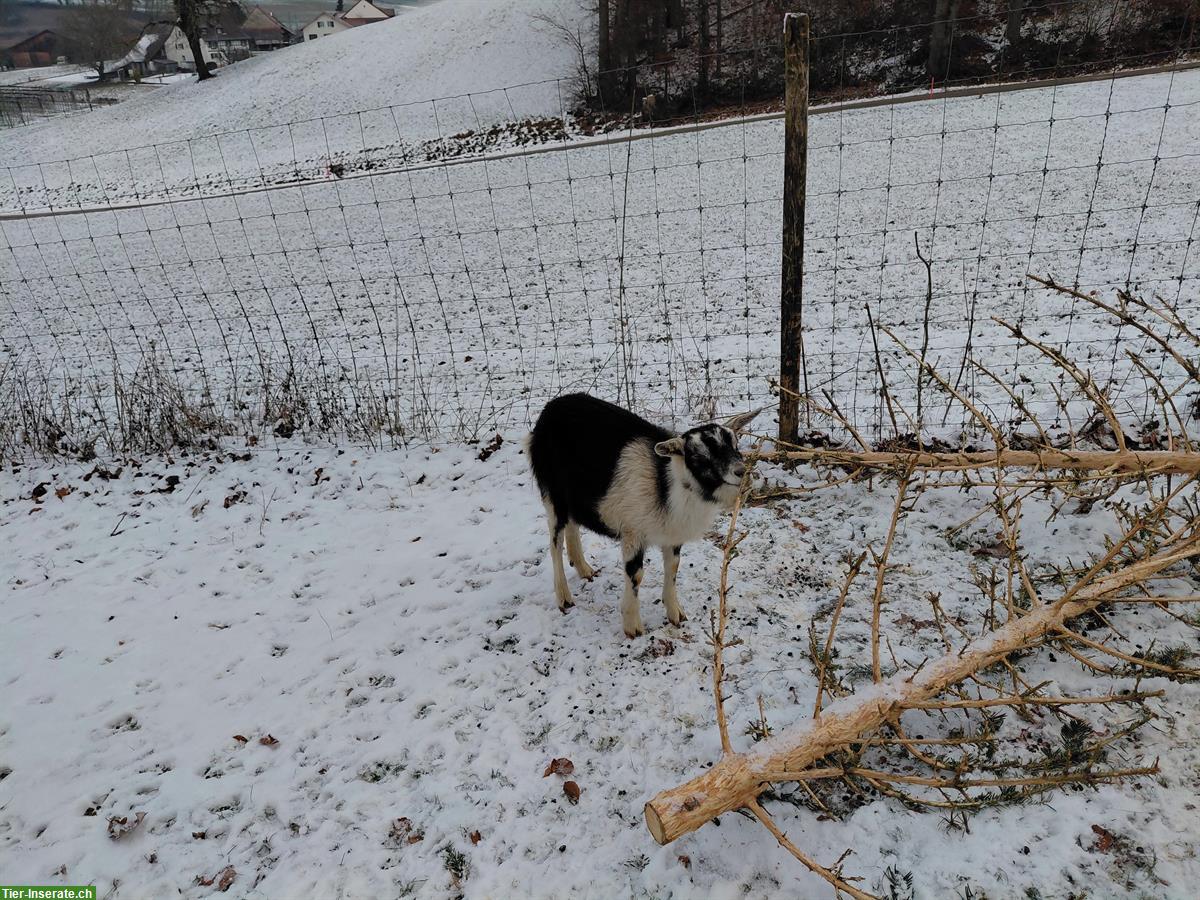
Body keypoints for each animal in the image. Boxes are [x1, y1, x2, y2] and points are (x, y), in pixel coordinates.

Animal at [527, 393, 759, 638]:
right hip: (553, 494)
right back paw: (564, 597)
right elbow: (636, 575)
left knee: (572, 525)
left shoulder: (672, 535)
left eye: (735, 446)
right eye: (699, 457)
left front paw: (676, 614)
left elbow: (673, 567)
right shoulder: (633, 532)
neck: (667, 484)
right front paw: (633, 626)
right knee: (555, 542)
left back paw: (584, 569)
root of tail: (551, 407)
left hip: (574, 497)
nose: (742, 472)